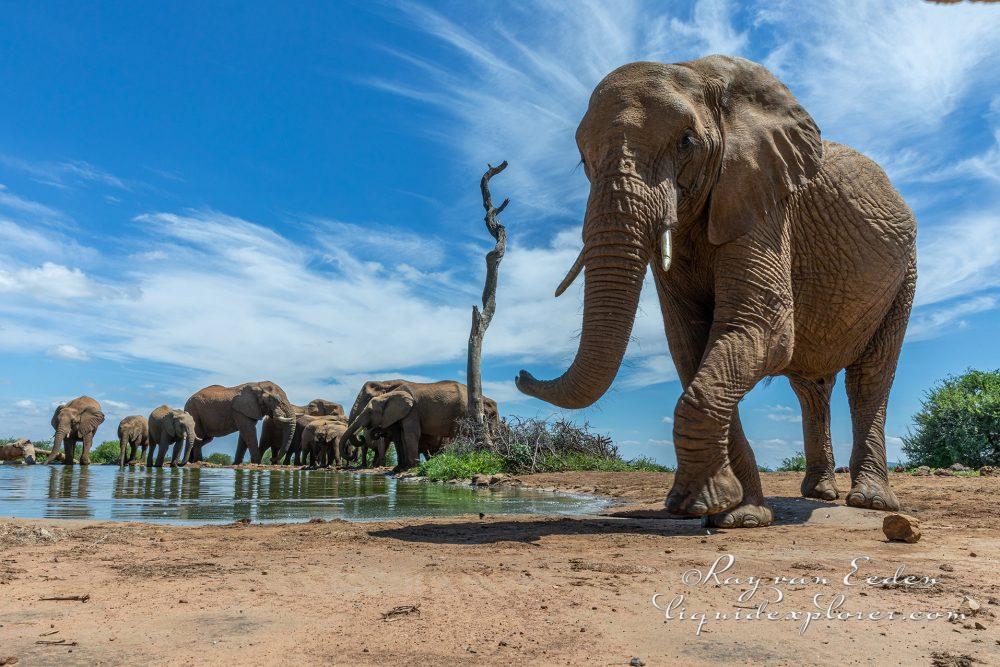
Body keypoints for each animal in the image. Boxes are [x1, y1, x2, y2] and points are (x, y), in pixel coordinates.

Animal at [344, 378, 500, 472]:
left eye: (369, 408)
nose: (363, 436)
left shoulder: (413, 410)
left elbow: (409, 434)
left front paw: (410, 468)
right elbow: (399, 436)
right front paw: (399, 469)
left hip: (462, 412)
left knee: (458, 435)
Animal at [516, 54, 916, 528]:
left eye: (686, 141)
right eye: (582, 158)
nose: (521, 374)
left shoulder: (762, 202)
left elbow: (760, 329)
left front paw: (712, 508)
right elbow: (691, 346)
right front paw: (732, 513)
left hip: (905, 274)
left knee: (870, 377)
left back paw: (870, 501)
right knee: (812, 388)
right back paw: (819, 493)